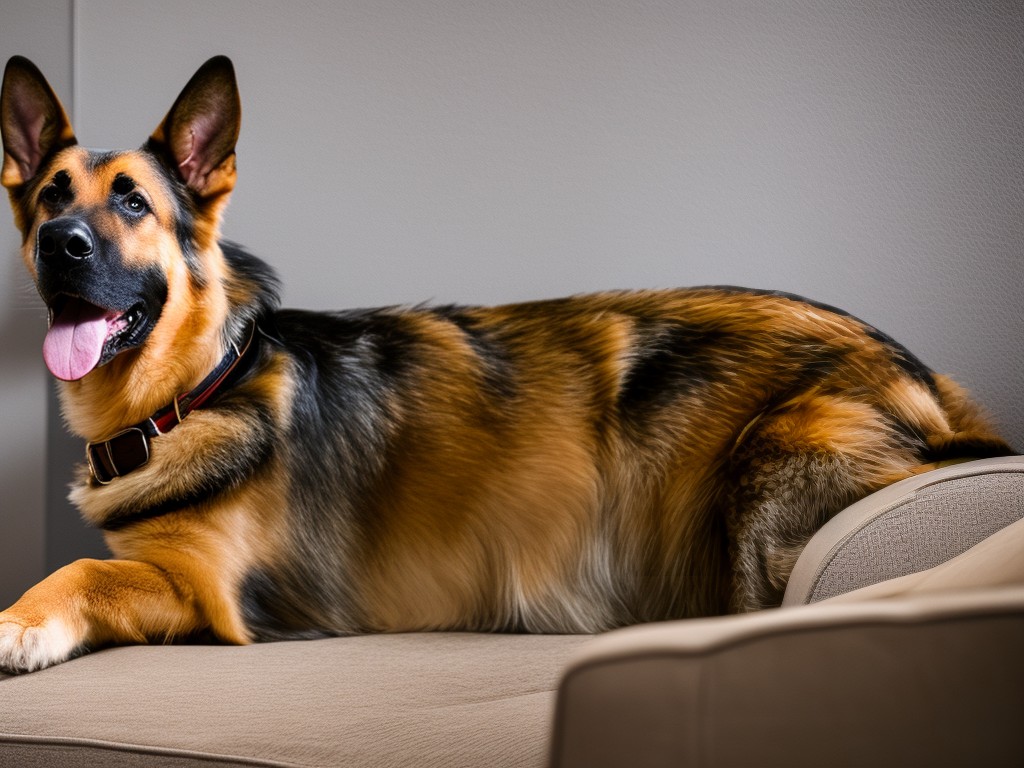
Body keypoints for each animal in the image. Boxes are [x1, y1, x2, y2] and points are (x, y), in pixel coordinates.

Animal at [0, 57, 1011, 671]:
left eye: (133, 201)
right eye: (51, 195)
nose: (60, 244)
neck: (202, 386)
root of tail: (928, 378)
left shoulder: (221, 601)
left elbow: (84, 571)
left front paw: (19, 622)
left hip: (765, 473)